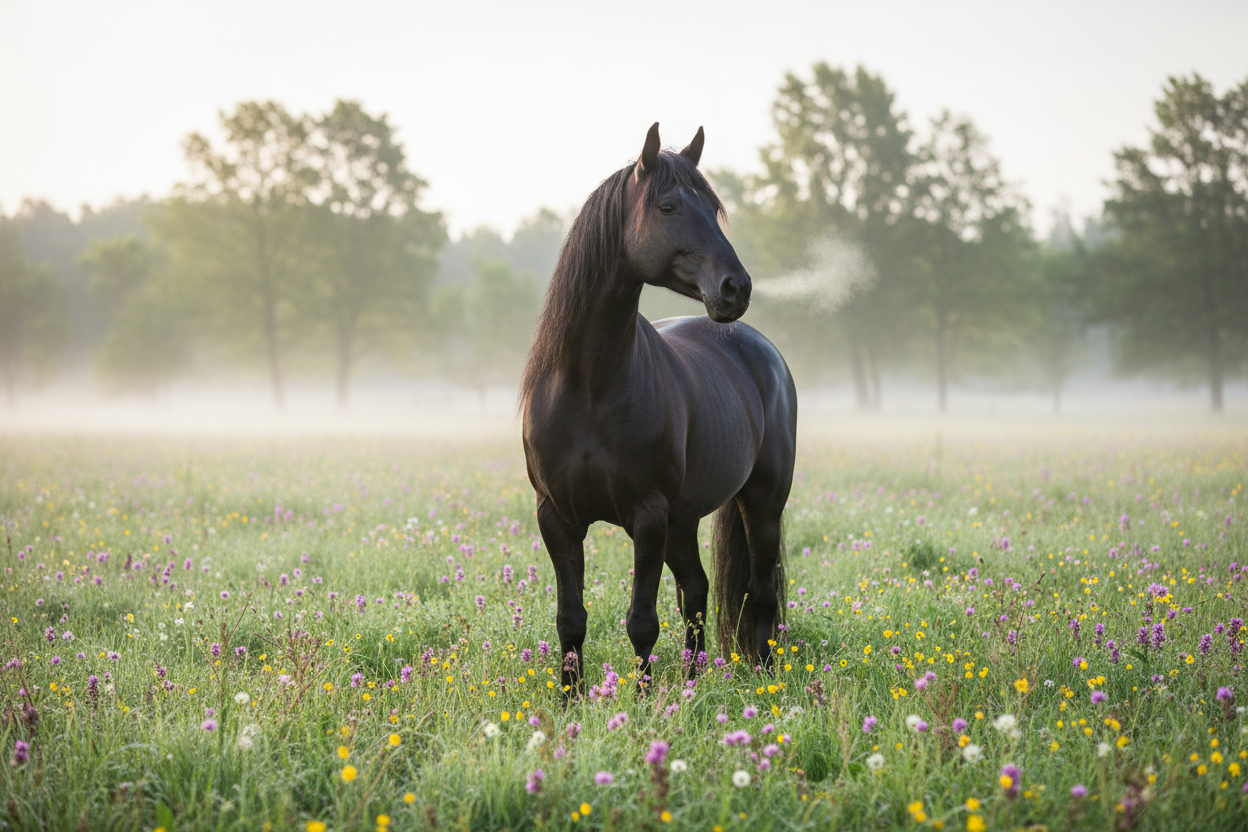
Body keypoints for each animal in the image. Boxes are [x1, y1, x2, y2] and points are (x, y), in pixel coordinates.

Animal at [520, 123, 797, 694]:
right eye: (667, 206)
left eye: (713, 207)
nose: (736, 287)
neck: (588, 385)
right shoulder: (556, 517)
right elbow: (570, 620)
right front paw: (570, 702)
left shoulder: (647, 516)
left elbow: (641, 622)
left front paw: (644, 703)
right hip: (683, 521)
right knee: (697, 590)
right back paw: (693, 680)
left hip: (761, 503)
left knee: (758, 595)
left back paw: (763, 677)